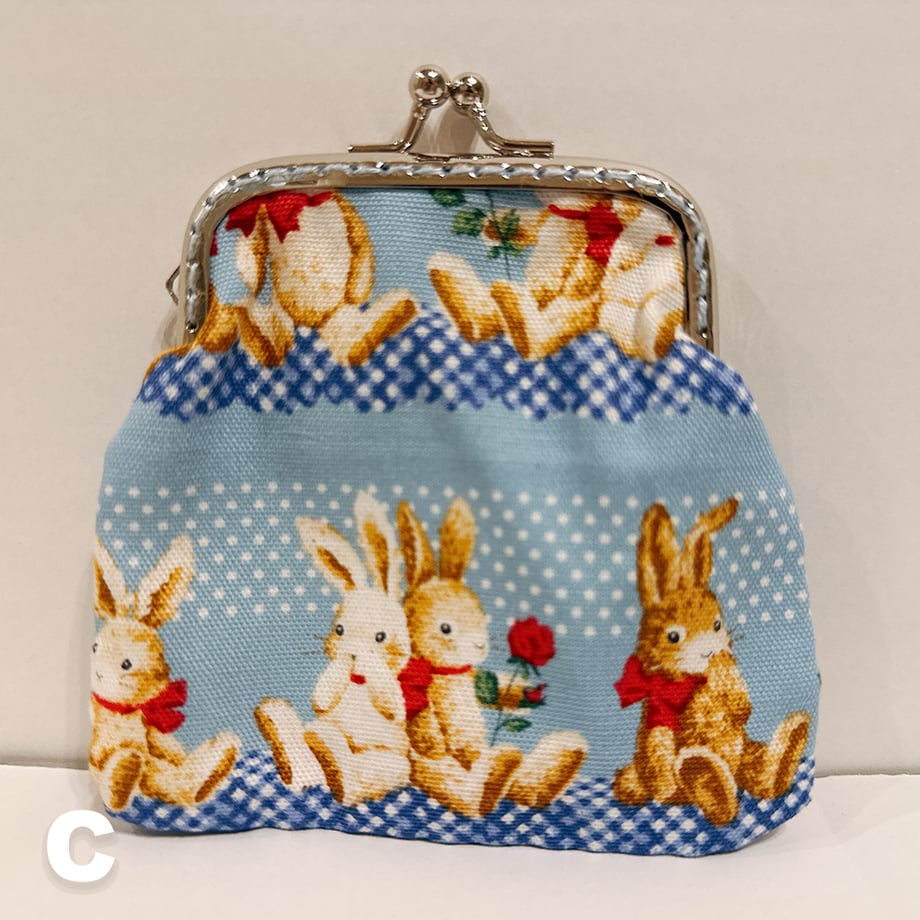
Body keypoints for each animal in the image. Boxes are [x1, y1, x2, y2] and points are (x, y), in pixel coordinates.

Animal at [89, 535, 240, 812]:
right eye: (95, 647)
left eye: (127, 664)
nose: (101, 674)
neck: (123, 710)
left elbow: (165, 746)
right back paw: (125, 773)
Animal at [254, 490, 411, 806]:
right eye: (339, 629)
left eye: (381, 636)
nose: (353, 652)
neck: (358, 682)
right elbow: (323, 697)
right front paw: (343, 663)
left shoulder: (395, 695)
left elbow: (391, 702)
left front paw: (368, 662)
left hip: (392, 765)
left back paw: (334, 764)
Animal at [396, 497, 587, 817]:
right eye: (445, 628)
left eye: (481, 616)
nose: (479, 645)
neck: (448, 673)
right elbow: (418, 717)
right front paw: (432, 741)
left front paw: (529, 694)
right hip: (436, 774)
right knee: (463, 792)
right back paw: (496, 775)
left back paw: (561, 760)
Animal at [612, 498, 811, 826]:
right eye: (673, 636)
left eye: (717, 624)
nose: (708, 651)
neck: (692, 682)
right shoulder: (657, 712)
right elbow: (659, 744)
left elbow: (740, 707)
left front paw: (722, 667)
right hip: (647, 776)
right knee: (662, 783)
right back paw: (705, 778)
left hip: (745, 752)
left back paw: (788, 747)